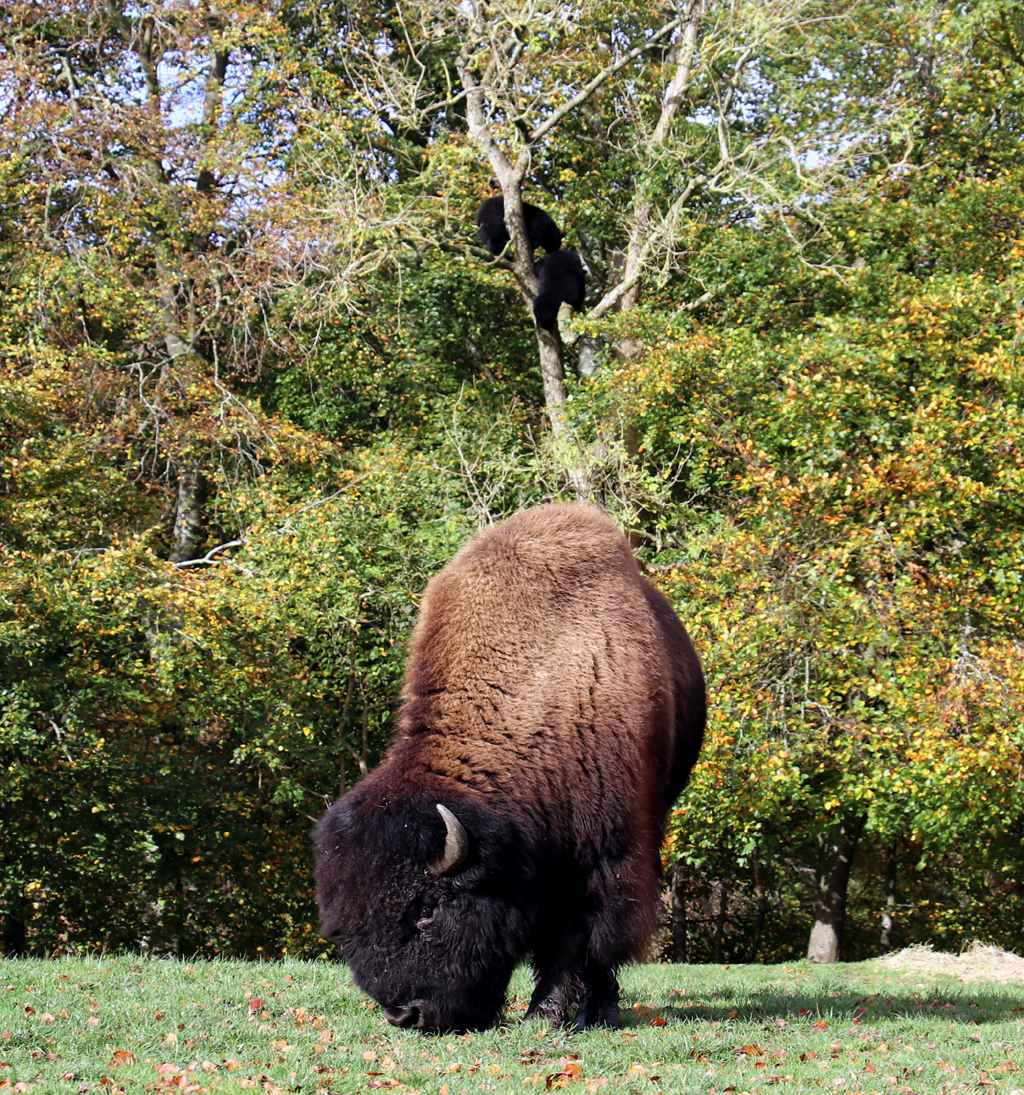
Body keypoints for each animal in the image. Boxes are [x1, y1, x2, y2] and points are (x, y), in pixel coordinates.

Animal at [314, 504, 705, 1031]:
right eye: (345, 931)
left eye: (426, 911)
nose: (407, 1014)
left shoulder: (603, 854)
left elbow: (579, 936)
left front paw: (554, 1013)